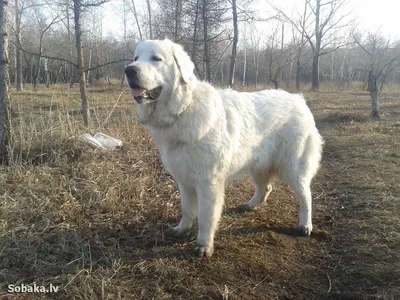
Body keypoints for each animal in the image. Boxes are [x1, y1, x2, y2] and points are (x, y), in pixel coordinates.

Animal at [126, 38, 324, 258]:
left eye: (156, 59)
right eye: (136, 58)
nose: (129, 70)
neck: (183, 110)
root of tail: (299, 99)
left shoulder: (208, 182)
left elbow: (205, 216)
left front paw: (204, 245)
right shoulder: (184, 179)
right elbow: (187, 209)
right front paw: (182, 230)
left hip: (293, 169)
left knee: (306, 196)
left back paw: (305, 225)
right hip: (258, 165)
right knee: (266, 188)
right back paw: (250, 206)